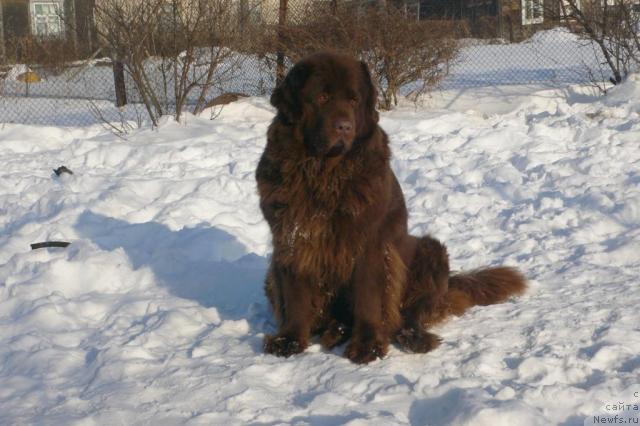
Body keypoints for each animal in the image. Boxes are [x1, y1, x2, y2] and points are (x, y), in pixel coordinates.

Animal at [255, 50, 524, 362]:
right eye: (321, 97)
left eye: (353, 100)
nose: (344, 126)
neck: (324, 173)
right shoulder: (291, 237)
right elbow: (296, 294)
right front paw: (289, 339)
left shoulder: (370, 242)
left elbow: (368, 297)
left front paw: (368, 345)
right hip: (271, 275)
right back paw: (335, 330)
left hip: (430, 252)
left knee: (410, 314)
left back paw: (412, 337)